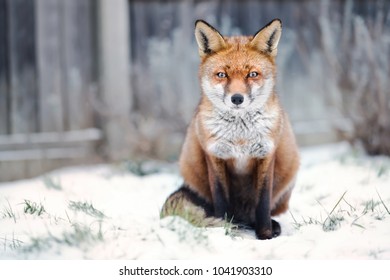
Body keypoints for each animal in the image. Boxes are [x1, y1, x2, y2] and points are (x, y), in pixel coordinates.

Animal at [160, 18, 300, 240]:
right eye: (222, 75)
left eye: (252, 74)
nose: (237, 98)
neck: (240, 137)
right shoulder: (215, 156)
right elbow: (221, 202)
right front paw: (224, 230)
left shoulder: (266, 155)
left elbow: (262, 204)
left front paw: (265, 235)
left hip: (290, 168)